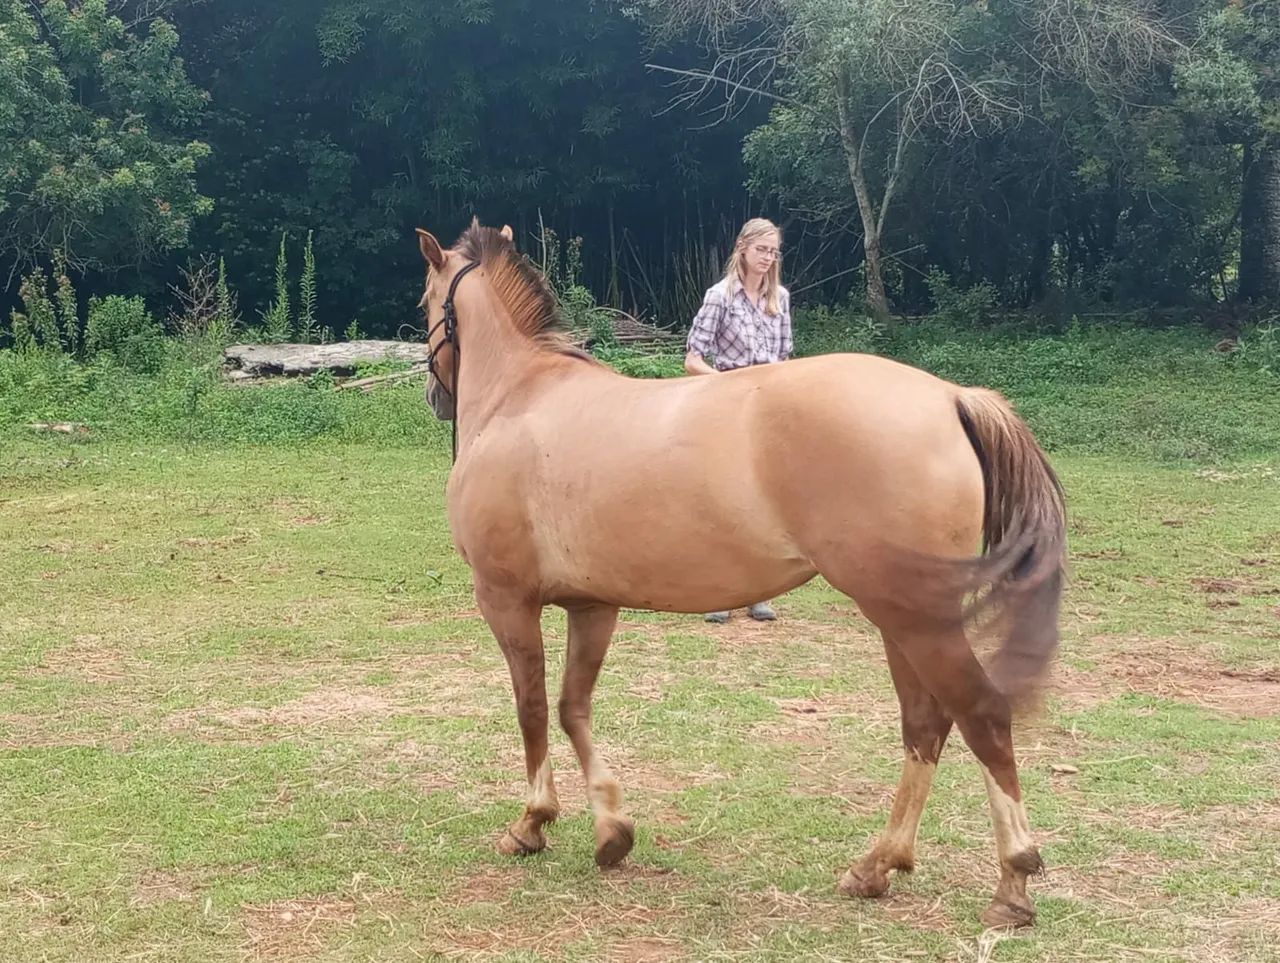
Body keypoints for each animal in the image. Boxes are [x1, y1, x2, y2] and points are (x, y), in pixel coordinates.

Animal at [414, 218, 1067, 928]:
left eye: (425, 302)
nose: (436, 396)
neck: (524, 397)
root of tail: (950, 397)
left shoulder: (506, 599)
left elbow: (531, 707)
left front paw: (533, 823)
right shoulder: (593, 606)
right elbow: (572, 708)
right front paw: (612, 830)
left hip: (914, 618)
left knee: (980, 714)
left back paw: (1012, 880)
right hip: (903, 620)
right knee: (926, 724)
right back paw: (877, 866)